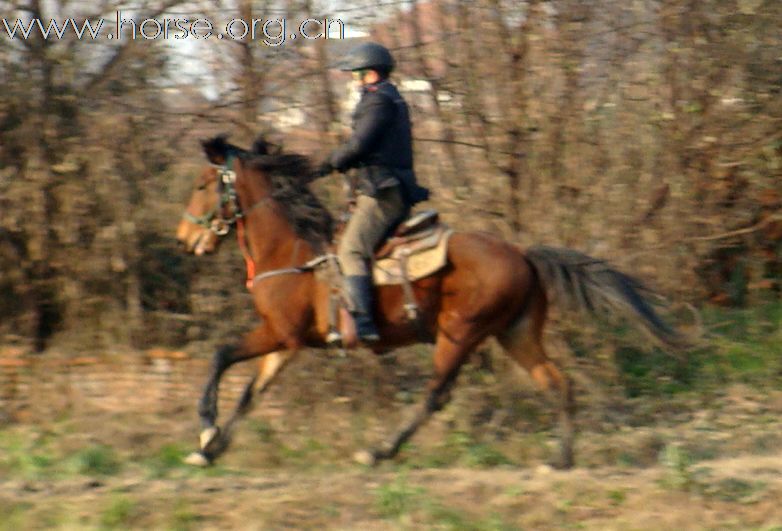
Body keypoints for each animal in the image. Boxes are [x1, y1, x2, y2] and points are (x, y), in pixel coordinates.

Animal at [175, 137, 684, 470]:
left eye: (201, 184)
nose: (183, 240)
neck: (292, 249)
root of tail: (522, 254)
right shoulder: (286, 345)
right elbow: (250, 393)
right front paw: (209, 448)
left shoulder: (280, 334)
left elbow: (221, 356)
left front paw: (205, 429)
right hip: (515, 334)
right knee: (557, 384)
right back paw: (561, 459)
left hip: (458, 333)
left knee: (436, 394)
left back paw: (380, 450)